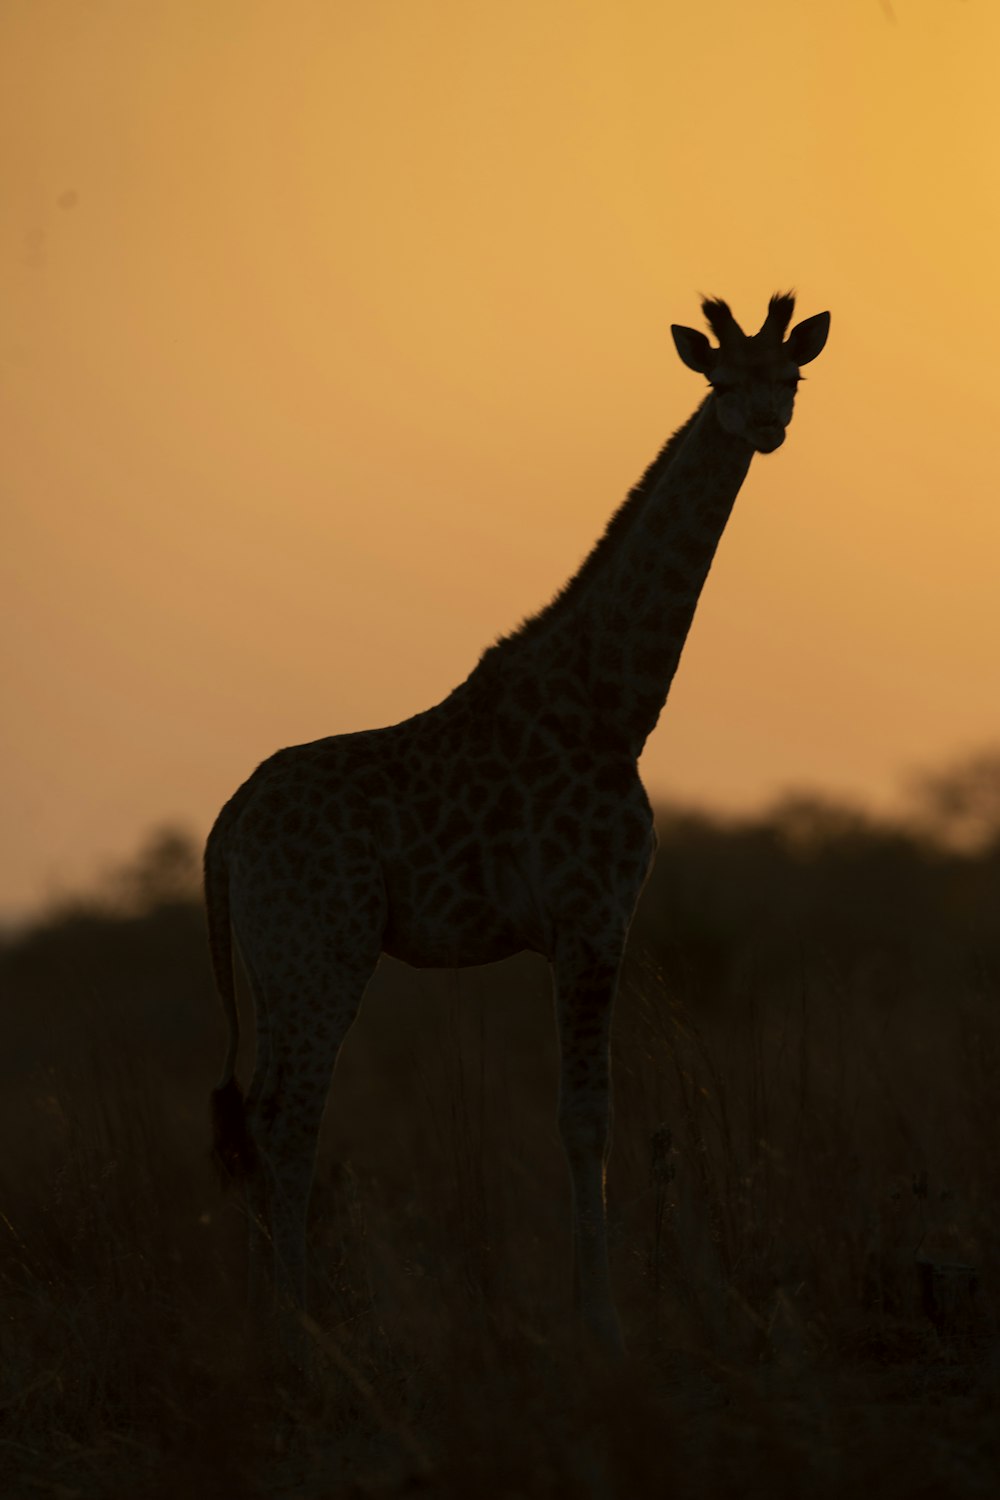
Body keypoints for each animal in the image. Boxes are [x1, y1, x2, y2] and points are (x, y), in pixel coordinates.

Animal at [203, 289, 827, 1362]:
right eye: (721, 378)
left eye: (788, 376)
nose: (763, 425)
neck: (617, 701)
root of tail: (230, 817)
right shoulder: (591, 916)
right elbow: (587, 1117)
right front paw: (604, 1327)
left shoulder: (576, 928)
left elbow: (578, 1116)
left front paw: (598, 1314)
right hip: (322, 949)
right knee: (288, 1115)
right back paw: (301, 1330)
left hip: (274, 957)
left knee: (257, 1107)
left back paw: (265, 1324)